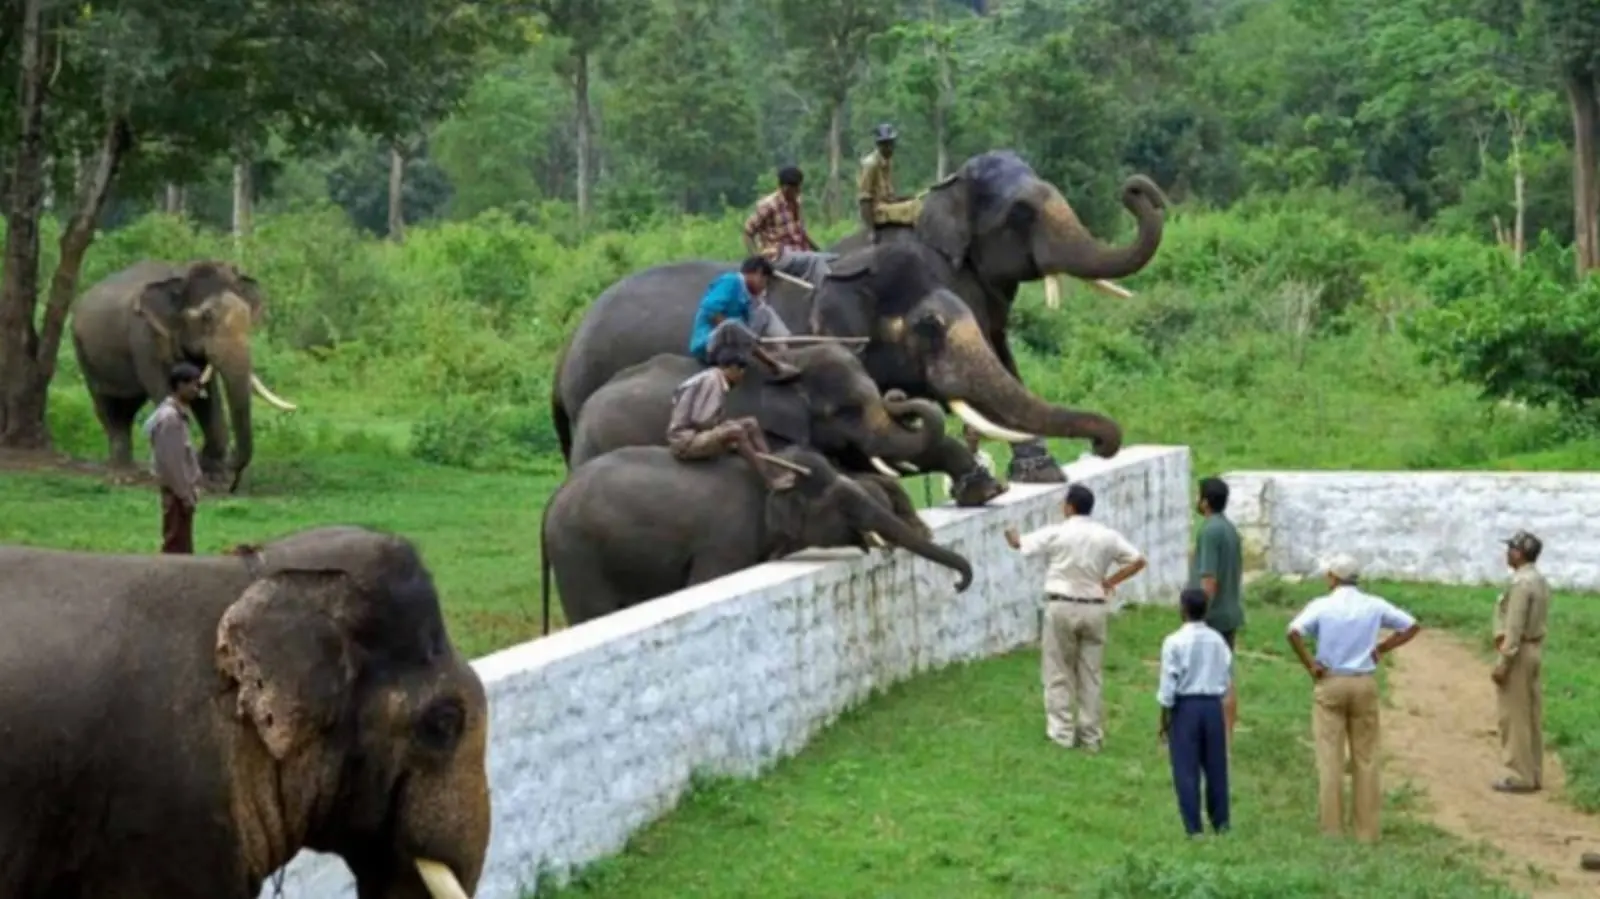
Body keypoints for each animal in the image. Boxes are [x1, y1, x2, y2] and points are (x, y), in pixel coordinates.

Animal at [70, 259, 300, 492]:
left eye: (247, 316)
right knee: (107, 408)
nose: (233, 480)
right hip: (83, 352)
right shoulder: (145, 339)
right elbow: (165, 392)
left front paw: (214, 478)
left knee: (127, 409)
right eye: (207, 316)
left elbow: (208, 397)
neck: (181, 274)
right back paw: (123, 476)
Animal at [539, 445, 973, 629]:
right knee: (593, 612)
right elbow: (705, 580)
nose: (957, 584)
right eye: (845, 504)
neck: (774, 472)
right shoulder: (725, 540)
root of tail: (550, 504)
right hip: (578, 554)